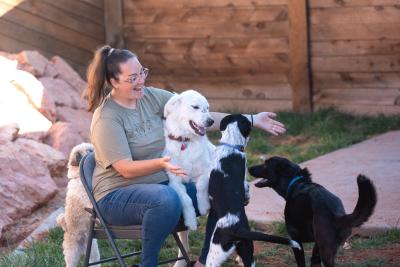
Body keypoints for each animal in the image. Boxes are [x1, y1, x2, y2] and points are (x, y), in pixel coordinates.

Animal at [206, 115, 300, 267]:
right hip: (246, 251)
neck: (230, 145)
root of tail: (237, 229)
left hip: (216, 253)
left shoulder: (243, 181)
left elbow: (247, 188)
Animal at [248, 157, 376, 267]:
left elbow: (301, 262)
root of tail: (337, 215)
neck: (296, 182)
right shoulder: (315, 243)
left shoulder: (295, 239)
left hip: (326, 252)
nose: (249, 167)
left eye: (266, 164)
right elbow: (314, 259)